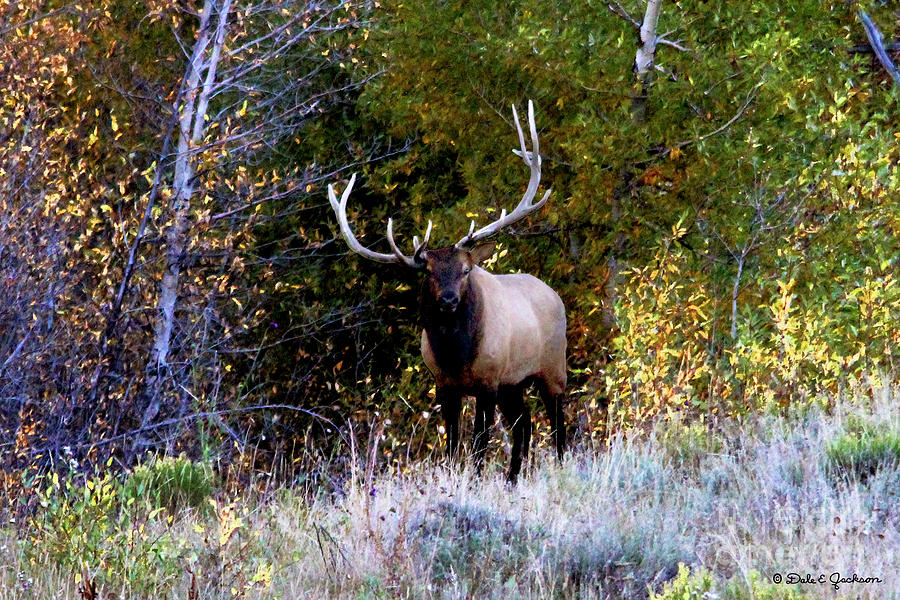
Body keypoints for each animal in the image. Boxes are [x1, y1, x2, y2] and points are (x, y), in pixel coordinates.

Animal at [326, 99, 568, 482]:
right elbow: (453, 444)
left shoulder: (488, 379)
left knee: (557, 421)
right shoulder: (444, 383)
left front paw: (476, 477)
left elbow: (479, 441)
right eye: (429, 272)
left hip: (552, 366)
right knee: (524, 423)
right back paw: (513, 477)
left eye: (466, 269)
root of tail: (554, 294)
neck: (457, 354)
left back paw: (557, 465)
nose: (449, 299)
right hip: (513, 382)